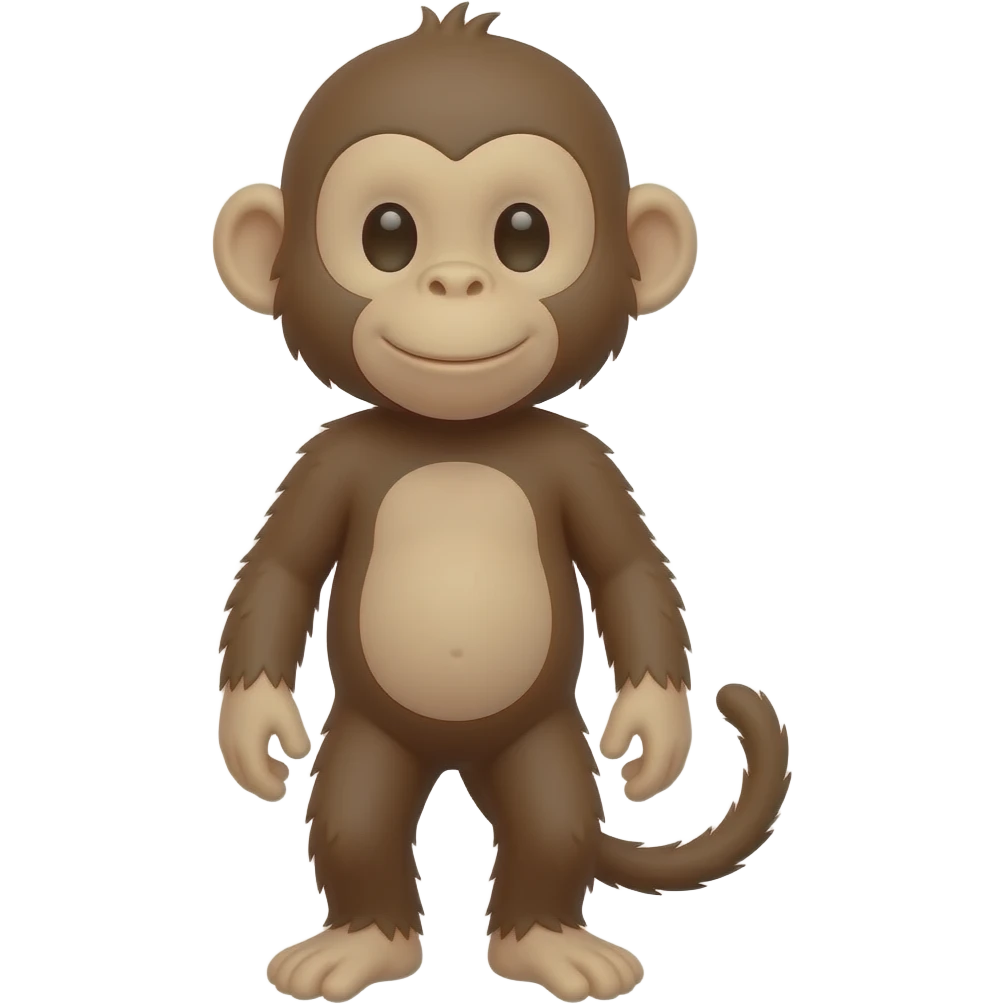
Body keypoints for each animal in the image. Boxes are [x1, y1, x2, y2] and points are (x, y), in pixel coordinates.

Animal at [212, 5, 791, 1003]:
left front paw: (652, 729)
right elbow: (280, 570)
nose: (455, 281)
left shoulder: (584, 459)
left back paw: (548, 942)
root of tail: (458, 756)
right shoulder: (326, 459)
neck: (458, 436)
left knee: (551, 817)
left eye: (523, 234)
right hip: (373, 735)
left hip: (539, 736)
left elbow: (630, 570)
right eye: (389, 233)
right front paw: (257, 728)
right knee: (356, 815)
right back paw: (360, 942)